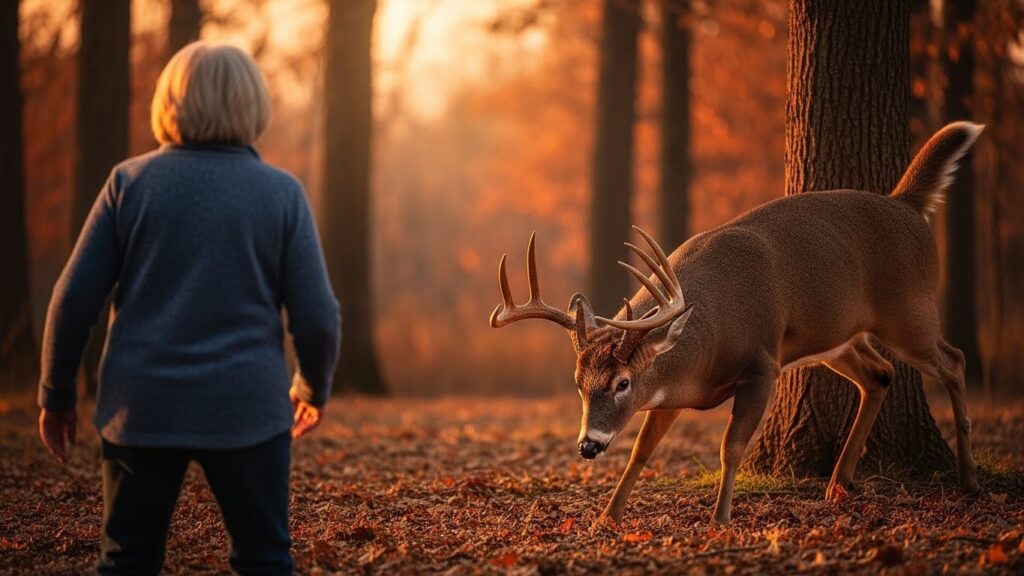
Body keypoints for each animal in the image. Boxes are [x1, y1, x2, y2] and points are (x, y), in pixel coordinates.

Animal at [489, 122, 984, 526]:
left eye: (622, 382)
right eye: (578, 382)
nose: (588, 445)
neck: (703, 349)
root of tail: (907, 206)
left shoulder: (762, 363)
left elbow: (731, 447)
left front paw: (720, 520)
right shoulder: (671, 392)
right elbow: (641, 452)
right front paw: (605, 519)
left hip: (909, 311)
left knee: (954, 360)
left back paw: (968, 481)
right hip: (836, 338)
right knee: (879, 374)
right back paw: (836, 485)